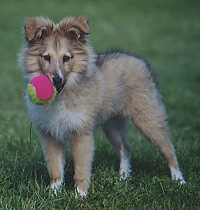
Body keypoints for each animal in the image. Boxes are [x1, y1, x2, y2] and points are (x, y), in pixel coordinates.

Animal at [18, 16, 184, 197]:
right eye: (46, 57)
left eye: (66, 58)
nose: (57, 80)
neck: (62, 95)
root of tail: (139, 61)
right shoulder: (50, 135)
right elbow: (55, 169)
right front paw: (54, 193)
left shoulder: (82, 134)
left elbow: (81, 170)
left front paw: (80, 195)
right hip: (112, 124)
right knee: (126, 148)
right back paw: (123, 177)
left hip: (148, 118)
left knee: (168, 147)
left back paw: (179, 180)